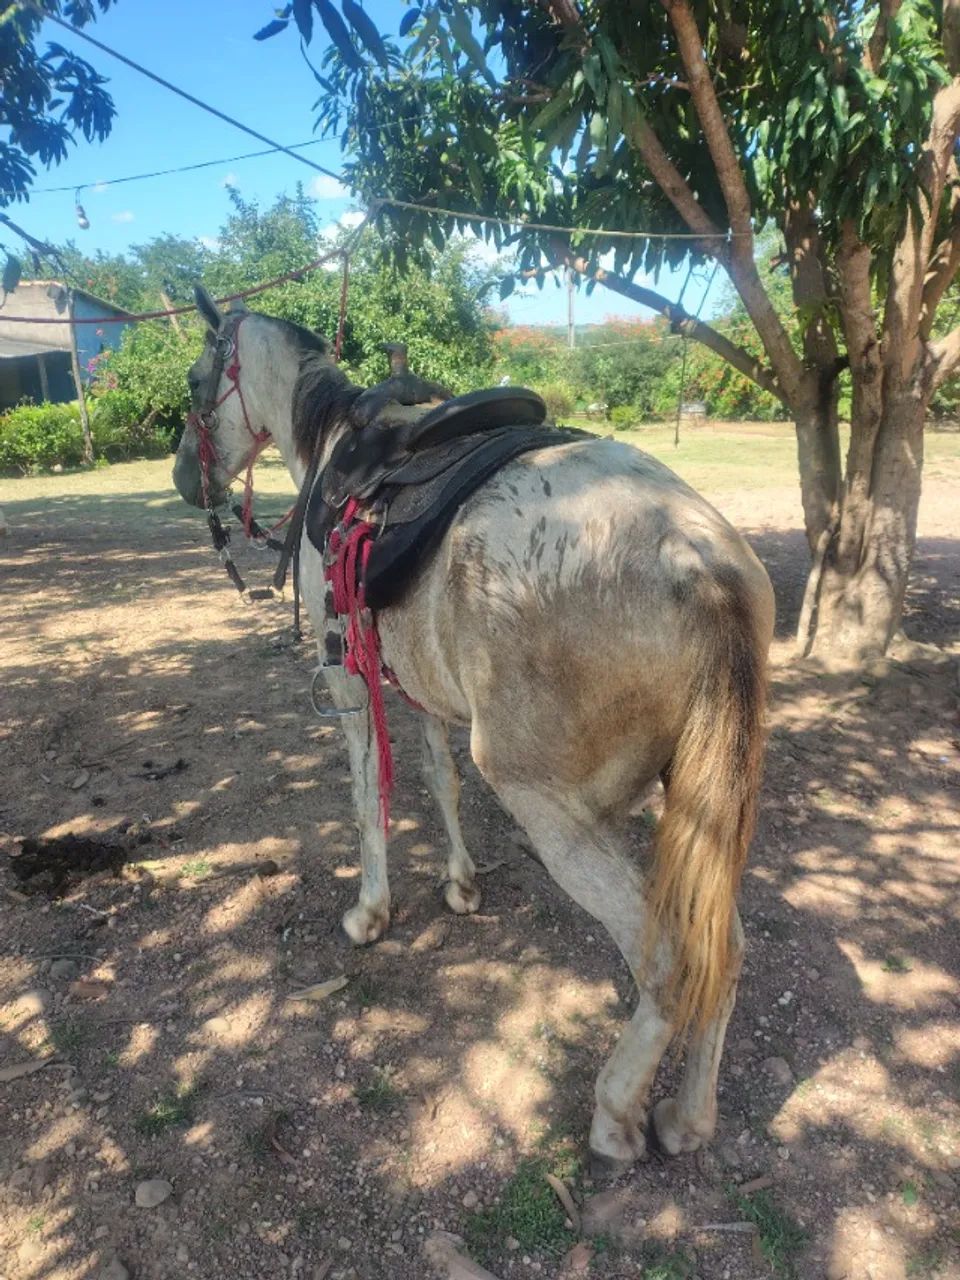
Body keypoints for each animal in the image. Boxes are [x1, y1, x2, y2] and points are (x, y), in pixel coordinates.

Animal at [172, 294, 775, 1170]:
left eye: (196, 380)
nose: (185, 477)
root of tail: (702, 565)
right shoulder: (418, 684)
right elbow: (439, 778)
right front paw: (460, 883)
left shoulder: (350, 681)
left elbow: (369, 798)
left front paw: (371, 912)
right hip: (698, 810)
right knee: (721, 948)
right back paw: (690, 1118)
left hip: (552, 807)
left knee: (666, 961)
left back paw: (616, 1112)